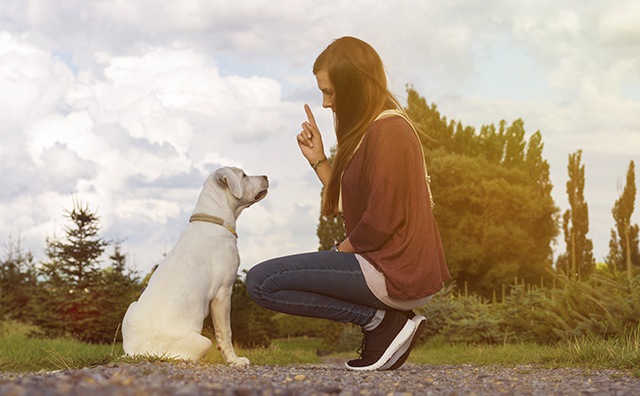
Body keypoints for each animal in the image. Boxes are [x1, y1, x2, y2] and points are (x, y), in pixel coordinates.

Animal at [122, 165, 268, 366]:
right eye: (244, 175)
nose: (266, 176)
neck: (213, 219)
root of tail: (134, 353)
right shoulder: (223, 293)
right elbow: (226, 332)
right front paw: (235, 360)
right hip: (203, 341)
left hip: (131, 308)